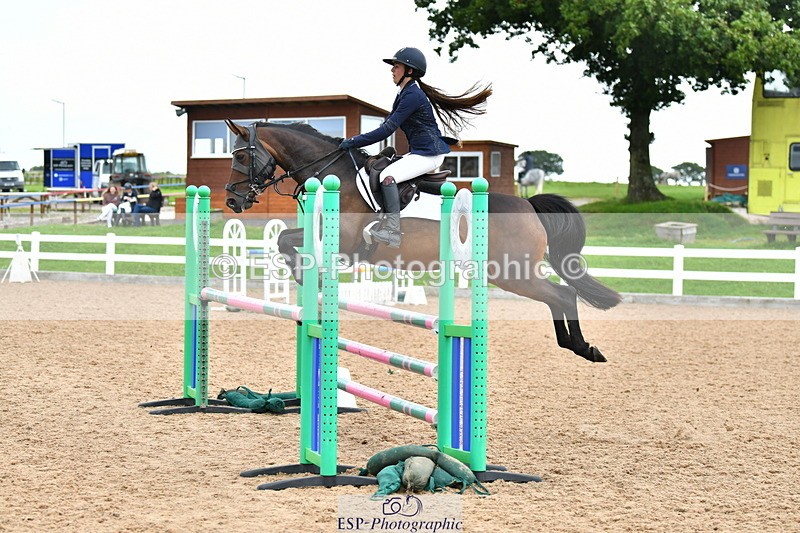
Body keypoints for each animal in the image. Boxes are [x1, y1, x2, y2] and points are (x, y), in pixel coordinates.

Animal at [223, 120, 621, 363]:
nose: (231, 200)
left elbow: (287, 241)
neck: (335, 173)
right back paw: (575, 345)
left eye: (240, 155)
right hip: (510, 272)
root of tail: (528, 205)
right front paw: (307, 281)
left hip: (512, 273)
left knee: (563, 294)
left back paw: (583, 348)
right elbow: (285, 240)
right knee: (560, 295)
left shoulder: (345, 242)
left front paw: (306, 278)